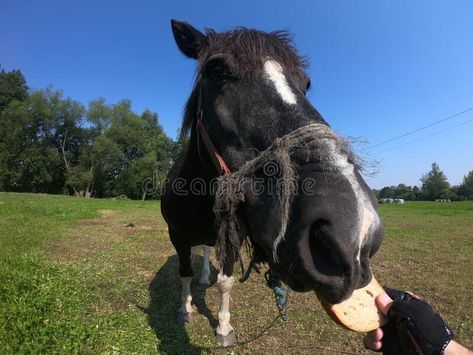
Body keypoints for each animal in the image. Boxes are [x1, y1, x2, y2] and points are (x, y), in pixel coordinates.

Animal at [159, 20, 384, 348]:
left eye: (306, 84)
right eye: (216, 70)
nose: (354, 232)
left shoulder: (232, 236)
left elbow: (225, 282)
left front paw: (223, 328)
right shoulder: (176, 235)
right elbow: (183, 273)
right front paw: (184, 311)